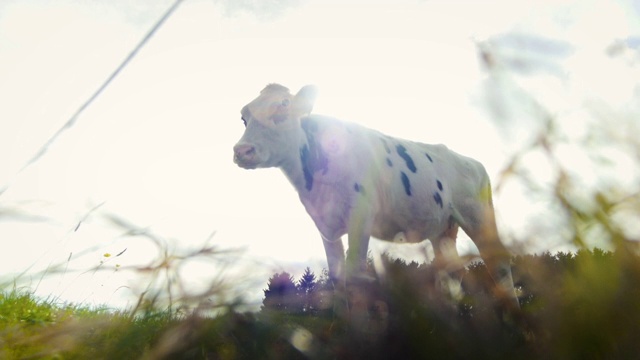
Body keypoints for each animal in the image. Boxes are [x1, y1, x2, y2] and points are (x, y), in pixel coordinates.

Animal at [232, 83, 516, 312]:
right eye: (244, 117)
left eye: (284, 105)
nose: (242, 150)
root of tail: (471, 161)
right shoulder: (325, 224)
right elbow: (337, 279)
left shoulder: (361, 216)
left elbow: (356, 275)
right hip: (443, 229)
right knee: (453, 271)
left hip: (478, 216)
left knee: (499, 263)